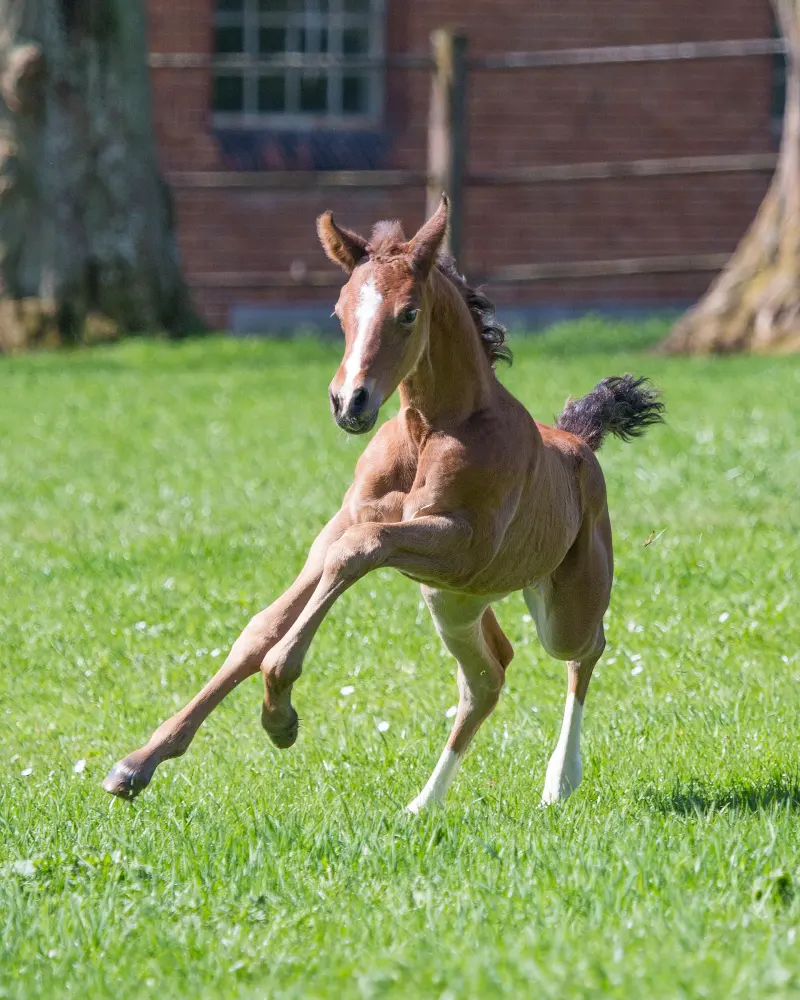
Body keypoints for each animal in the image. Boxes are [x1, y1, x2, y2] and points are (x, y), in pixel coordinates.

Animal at [103, 196, 663, 810]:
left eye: (409, 314)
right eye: (339, 312)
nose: (350, 402)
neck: (429, 433)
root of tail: (579, 440)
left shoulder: (461, 543)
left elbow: (357, 551)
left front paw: (279, 712)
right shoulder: (347, 523)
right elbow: (264, 626)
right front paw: (139, 762)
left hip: (559, 605)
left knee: (585, 649)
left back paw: (559, 778)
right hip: (454, 602)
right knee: (488, 677)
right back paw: (425, 803)